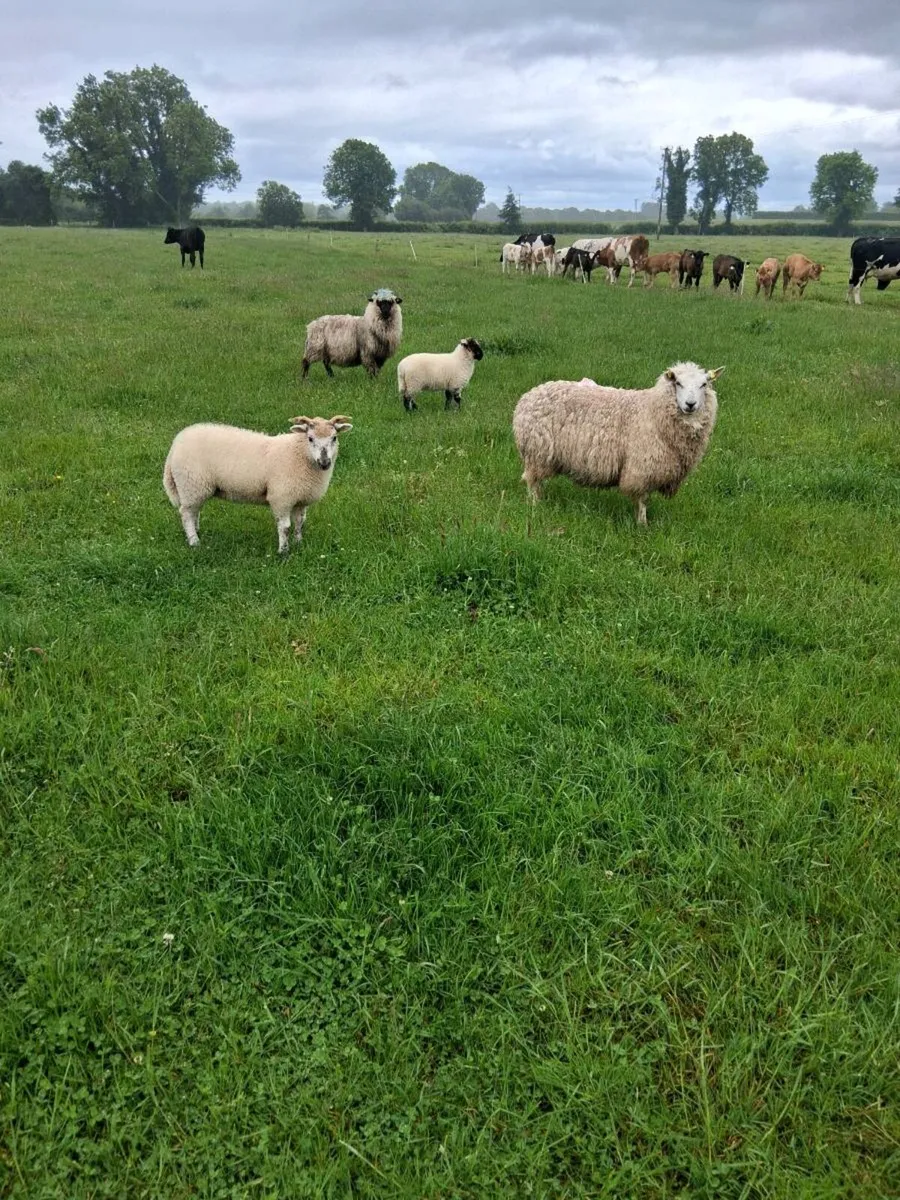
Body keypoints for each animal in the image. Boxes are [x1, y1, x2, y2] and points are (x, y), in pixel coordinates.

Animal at [163, 414, 353, 554]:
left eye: (334, 438)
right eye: (310, 438)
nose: (325, 462)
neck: (300, 454)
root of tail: (176, 444)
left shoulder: (300, 499)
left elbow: (300, 523)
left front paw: (299, 543)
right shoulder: (281, 498)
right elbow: (285, 527)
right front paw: (283, 551)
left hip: (195, 488)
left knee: (194, 511)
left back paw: (196, 532)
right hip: (191, 484)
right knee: (186, 513)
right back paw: (194, 541)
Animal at [512, 362, 725, 525]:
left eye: (704, 384)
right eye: (678, 383)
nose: (690, 405)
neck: (653, 411)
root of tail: (529, 395)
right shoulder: (641, 466)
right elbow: (642, 499)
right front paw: (642, 525)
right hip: (537, 451)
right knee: (532, 481)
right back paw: (535, 505)